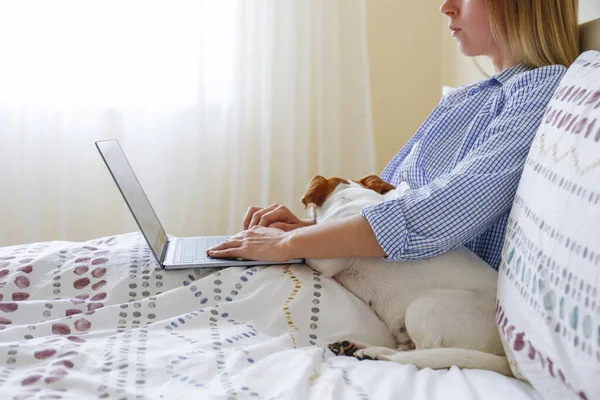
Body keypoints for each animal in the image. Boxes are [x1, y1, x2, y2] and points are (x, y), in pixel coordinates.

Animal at [300, 174, 510, 376]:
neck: (351, 197)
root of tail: (505, 356)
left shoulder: (324, 261)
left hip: (423, 307)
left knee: (423, 354)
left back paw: (375, 352)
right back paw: (358, 347)